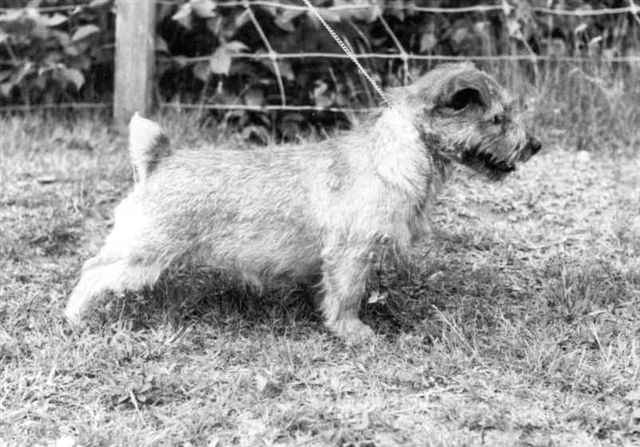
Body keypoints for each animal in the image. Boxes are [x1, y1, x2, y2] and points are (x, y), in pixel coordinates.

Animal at [65, 62, 540, 344]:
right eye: (497, 118)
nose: (535, 145)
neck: (393, 156)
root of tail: (161, 158)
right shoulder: (351, 253)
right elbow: (348, 294)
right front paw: (353, 332)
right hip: (140, 251)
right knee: (91, 272)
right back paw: (75, 317)